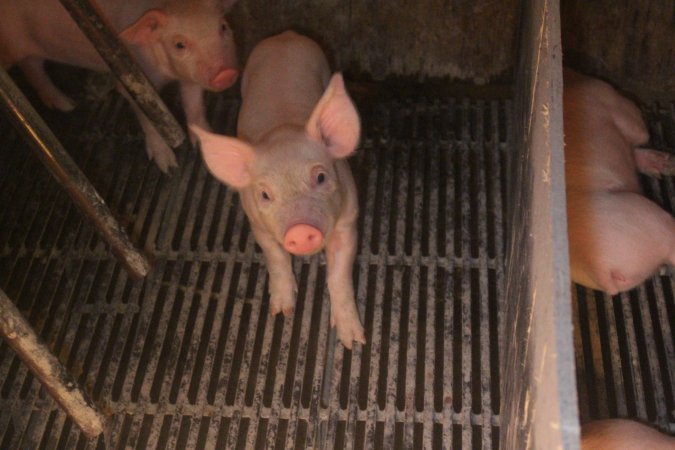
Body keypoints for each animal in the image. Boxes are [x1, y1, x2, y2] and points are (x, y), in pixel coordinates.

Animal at [0, 0, 239, 172]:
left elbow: (194, 105)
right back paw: (69, 105)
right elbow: (148, 119)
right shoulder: (133, 83)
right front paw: (169, 167)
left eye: (223, 27)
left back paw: (67, 104)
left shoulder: (190, 77)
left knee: (32, 66)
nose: (225, 73)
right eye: (179, 44)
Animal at [193, 31, 368, 348]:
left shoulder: (348, 219)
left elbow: (339, 275)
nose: (300, 230)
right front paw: (281, 311)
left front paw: (353, 341)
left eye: (320, 177)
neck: (283, 129)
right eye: (265, 194)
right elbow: (275, 257)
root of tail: (286, 35)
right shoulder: (256, 222)